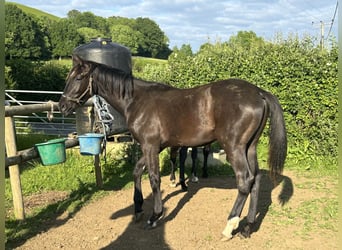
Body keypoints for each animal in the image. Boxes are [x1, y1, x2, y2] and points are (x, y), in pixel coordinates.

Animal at [58, 55, 286, 239]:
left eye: (78, 78)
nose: (62, 106)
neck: (137, 101)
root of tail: (259, 93)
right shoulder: (154, 147)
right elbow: (137, 171)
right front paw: (138, 209)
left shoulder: (150, 146)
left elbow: (154, 178)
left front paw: (155, 216)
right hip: (250, 147)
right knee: (256, 179)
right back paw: (248, 227)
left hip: (234, 148)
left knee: (245, 180)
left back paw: (230, 226)